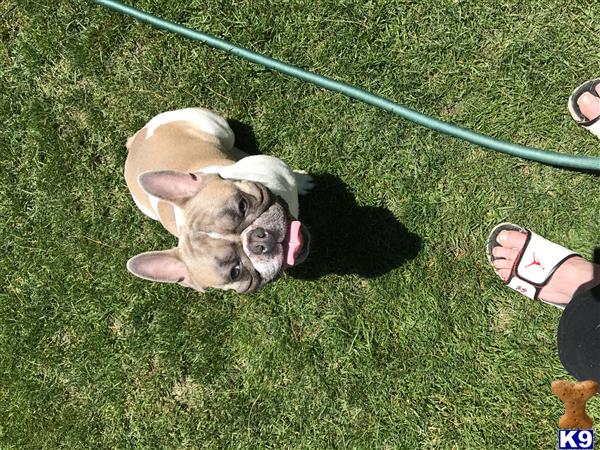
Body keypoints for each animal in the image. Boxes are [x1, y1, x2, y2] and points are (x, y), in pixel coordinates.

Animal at [126, 107, 314, 294]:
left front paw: (302, 181)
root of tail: (134, 141)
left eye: (242, 206)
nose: (258, 241)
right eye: (235, 272)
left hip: (218, 127)